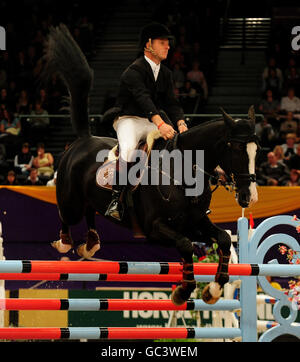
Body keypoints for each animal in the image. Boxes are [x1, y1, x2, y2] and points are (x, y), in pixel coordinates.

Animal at [45, 24, 258, 306]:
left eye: (257, 150)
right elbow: (186, 245)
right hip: (71, 201)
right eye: (235, 148)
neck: (183, 172)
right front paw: (183, 291)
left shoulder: (195, 222)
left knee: (90, 212)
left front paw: (212, 289)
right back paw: (65, 243)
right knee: (67, 216)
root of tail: (83, 139)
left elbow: (222, 238)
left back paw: (90, 244)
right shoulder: (156, 228)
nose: (249, 197)